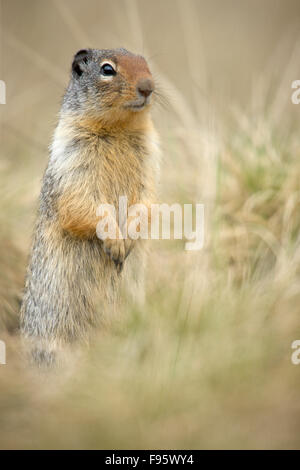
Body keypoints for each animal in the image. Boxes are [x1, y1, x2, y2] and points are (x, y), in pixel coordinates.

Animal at [19, 47, 161, 366]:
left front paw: (128, 236)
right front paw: (115, 242)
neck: (119, 129)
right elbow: (83, 204)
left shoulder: (150, 163)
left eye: (147, 65)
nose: (148, 86)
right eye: (107, 69)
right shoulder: (73, 161)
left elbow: (147, 202)